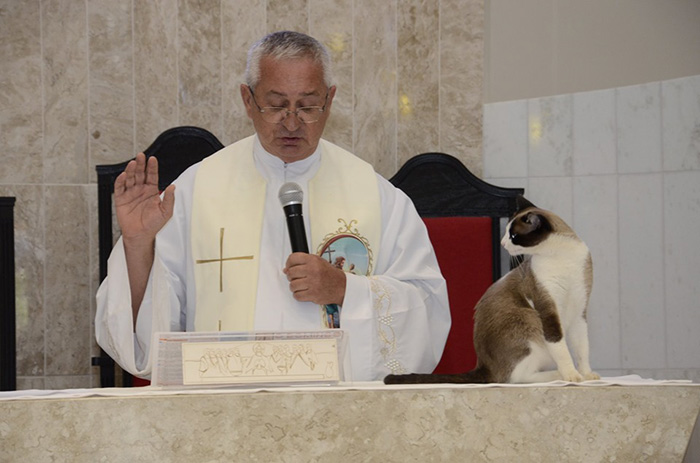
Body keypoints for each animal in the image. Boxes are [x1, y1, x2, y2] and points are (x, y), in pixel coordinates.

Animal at [386, 196, 600, 384]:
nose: (502, 243)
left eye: (513, 236)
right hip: (529, 320)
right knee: (515, 377)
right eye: (506, 233)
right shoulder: (548, 310)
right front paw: (572, 376)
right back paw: (556, 374)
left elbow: (582, 348)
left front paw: (586, 375)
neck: (560, 254)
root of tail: (483, 365)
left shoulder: (579, 311)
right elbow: (561, 349)